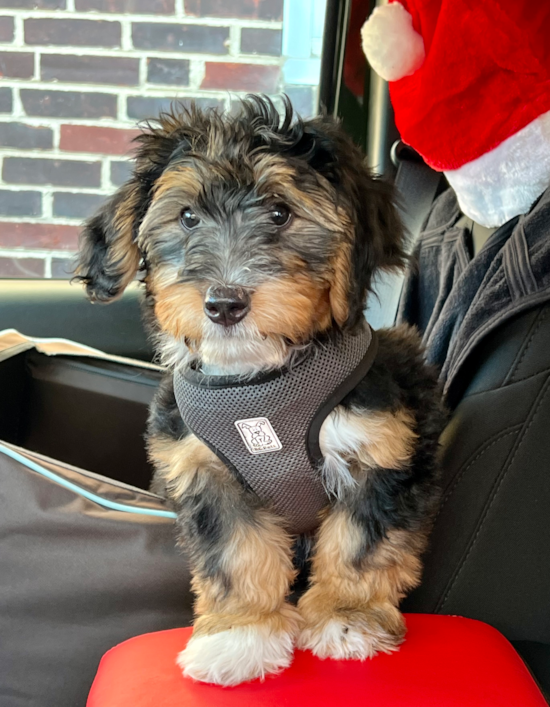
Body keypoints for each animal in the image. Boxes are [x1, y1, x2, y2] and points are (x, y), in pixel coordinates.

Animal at [76, 97, 444, 688]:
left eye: (279, 213)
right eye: (187, 217)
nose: (225, 302)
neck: (259, 383)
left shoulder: (382, 451)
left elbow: (362, 544)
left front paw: (347, 617)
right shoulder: (205, 470)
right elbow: (235, 554)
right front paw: (240, 634)